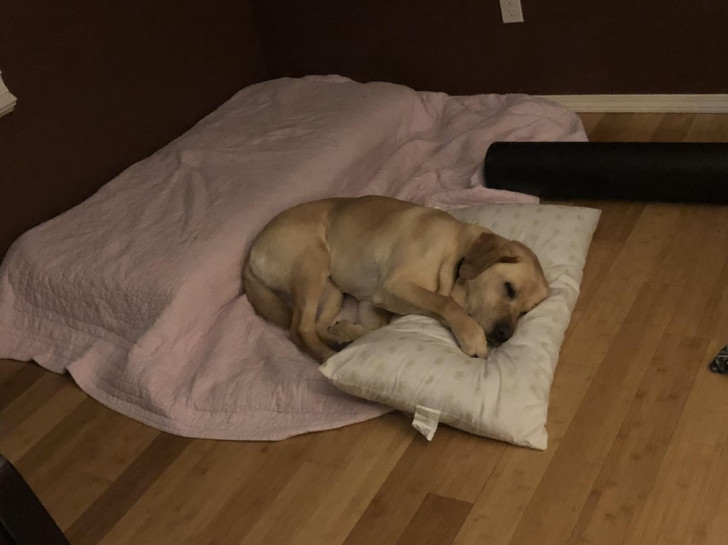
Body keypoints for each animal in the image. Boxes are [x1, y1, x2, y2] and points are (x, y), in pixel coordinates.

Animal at [242, 196, 548, 362]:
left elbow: (376, 330)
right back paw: (328, 356)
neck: (456, 254)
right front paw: (472, 336)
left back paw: (336, 341)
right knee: (299, 329)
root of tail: (252, 251)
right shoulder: (395, 286)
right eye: (509, 288)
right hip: (312, 265)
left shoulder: (371, 303)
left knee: (316, 326)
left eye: (524, 312)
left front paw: (348, 331)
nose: (505, 335)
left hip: (331, 290)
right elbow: (445, 303)